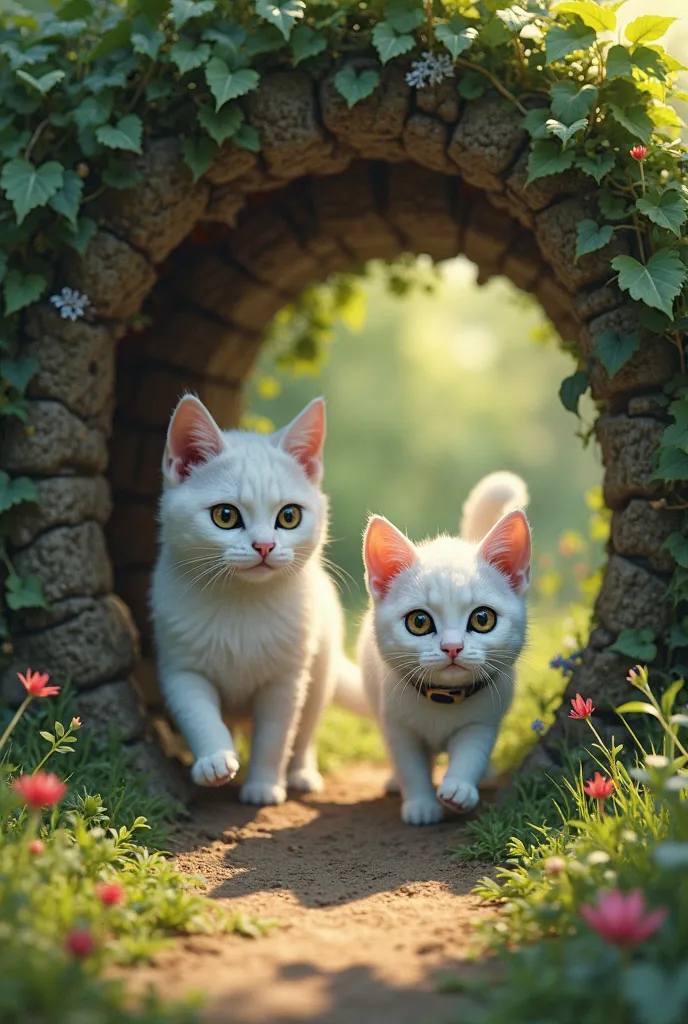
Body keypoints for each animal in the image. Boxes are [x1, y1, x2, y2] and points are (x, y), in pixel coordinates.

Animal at [150, 395, 360, 802]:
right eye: (225, 515)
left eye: (289, 516)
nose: (264, 546)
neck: (241, 603)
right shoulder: (182, 667)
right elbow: (198, 714)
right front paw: (214, 759)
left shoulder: (286, 680)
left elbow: (275, 737)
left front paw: (263, 785)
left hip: (320, 670)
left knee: (306, 731)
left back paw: (301, 773)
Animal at [358, 471, 528, 823]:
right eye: (419, 621)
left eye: (482, 618)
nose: (452, 647)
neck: (443, 700)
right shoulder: (397, 724)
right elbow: (410, 765)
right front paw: (420, 803)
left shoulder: (483, 719)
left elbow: (472, 751)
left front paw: (459, 787)